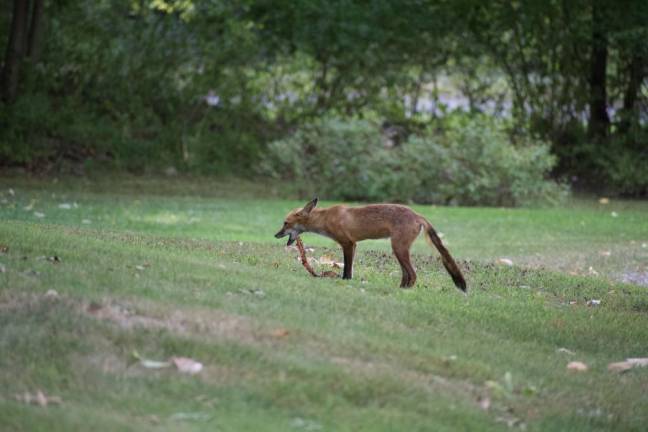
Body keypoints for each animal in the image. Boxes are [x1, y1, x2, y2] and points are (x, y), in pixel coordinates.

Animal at [274, 197, 466, 292]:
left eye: (285, 223)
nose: (275, 235)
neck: (326, 218)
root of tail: (417, 214)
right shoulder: (354, 245)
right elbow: (350, 268)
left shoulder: (347, 243)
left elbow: (347, 269)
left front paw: (344, 282)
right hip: (399, 250)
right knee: (407, 275)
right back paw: (400, 289)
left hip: (398, 248)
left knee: (412, 274)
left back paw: (404, 291)